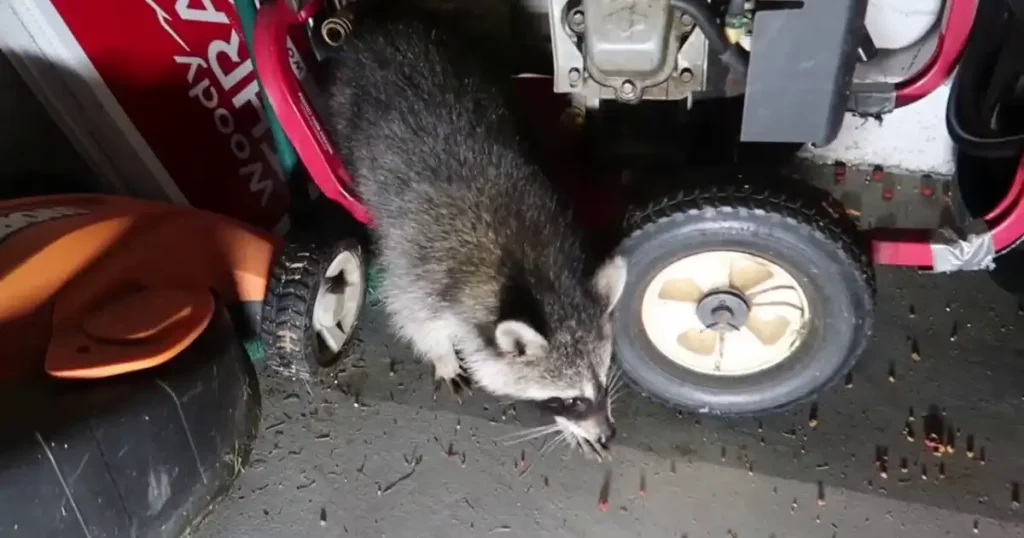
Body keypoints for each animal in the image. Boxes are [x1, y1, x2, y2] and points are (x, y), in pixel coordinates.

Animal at [315, 11, 626, 452]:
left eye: (600, 384)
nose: (607, 434)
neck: (539, 276)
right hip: (345, 106)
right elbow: (411, 313)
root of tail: (377, 31)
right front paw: (442, 354)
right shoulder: (422, 265)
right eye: (569, 399)